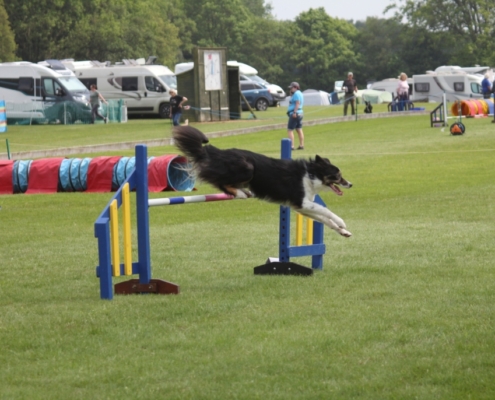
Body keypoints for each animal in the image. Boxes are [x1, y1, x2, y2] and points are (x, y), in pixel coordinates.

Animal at [172, 126, 352, 237]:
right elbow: (326, 211)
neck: (311, 174)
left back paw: (243, 191)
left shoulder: (301, 207)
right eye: (338, 175)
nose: (350, 184)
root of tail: (218, 152)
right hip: (247, 168)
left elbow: (324, 219)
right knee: (221, 182)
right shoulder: (302, 202)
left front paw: (343, 231)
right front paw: (342, 222)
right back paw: (240, 193)